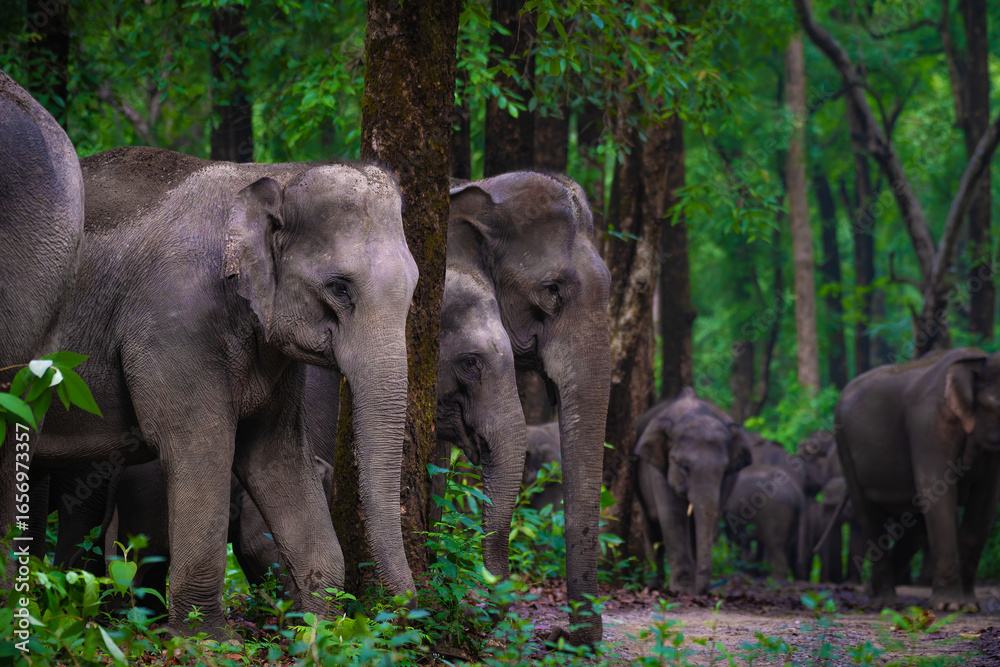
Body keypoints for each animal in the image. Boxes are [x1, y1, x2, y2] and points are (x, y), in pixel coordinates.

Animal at [27, 146, 418, 638]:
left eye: (414, 287)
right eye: (339, 287)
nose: (403, 609)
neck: (275, 176)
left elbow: (275, 456)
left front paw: (326, 633)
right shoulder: (173, 322)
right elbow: (199, 446)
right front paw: (207, 638)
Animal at [634, 387, 752, 594]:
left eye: (724, 469)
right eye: (684, 467)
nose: (704, 590)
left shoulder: (727, 481)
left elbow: (710, 516)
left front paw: (691, 589)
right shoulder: (657, 469)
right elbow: (672, 515)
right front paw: (682, 589)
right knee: (651, 526)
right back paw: (653, 585)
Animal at [835, 347, 1000, 611]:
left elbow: (985, 505)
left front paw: (969, 606)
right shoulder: (928, 423)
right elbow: (937, 491)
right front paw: (949, 606)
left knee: (915, 528)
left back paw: (872, 592)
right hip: (845, 448)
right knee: (870, 518)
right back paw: (884, 603)